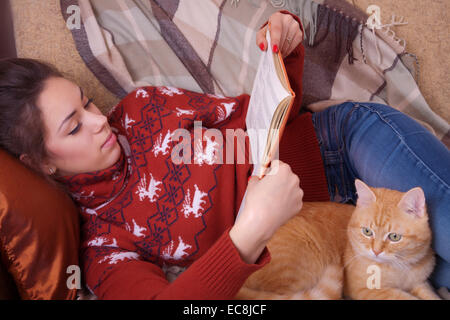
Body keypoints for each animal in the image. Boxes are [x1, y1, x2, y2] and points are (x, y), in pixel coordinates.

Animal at [236, 180, 440, 300]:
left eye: (394, 237)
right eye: (367, 232)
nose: (376, 251)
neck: (400, 269)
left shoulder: (420, 283)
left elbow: (429, 295)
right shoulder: (366, 290)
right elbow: (403, 297)